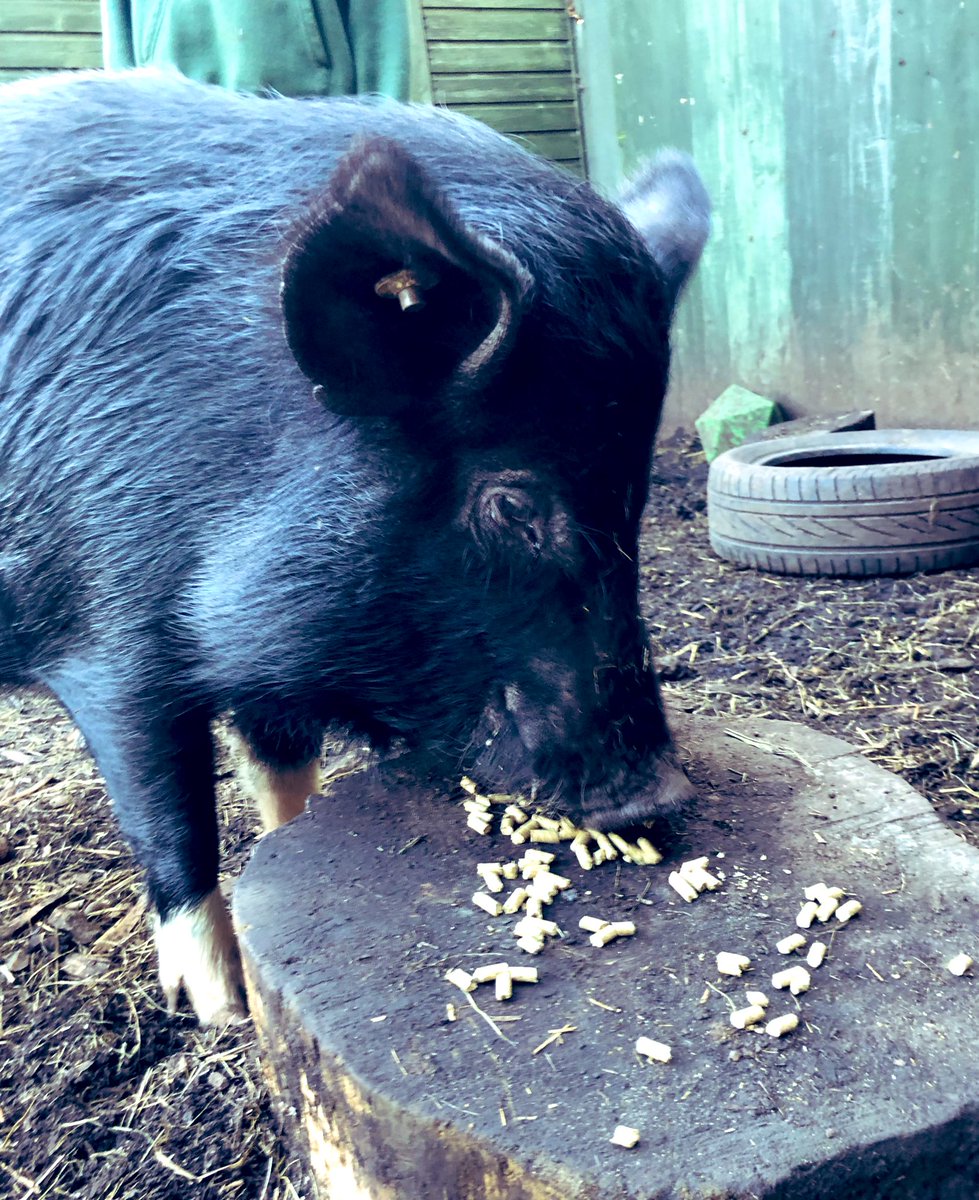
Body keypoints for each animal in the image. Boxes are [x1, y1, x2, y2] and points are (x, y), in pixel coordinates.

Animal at [0, 70, 709, 1023]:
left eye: (638, 498)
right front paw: (223, 1009)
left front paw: (288, 846)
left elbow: (279, 765)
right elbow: (169, 812)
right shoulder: (105, 633)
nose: (660, 797)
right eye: (514, 504)